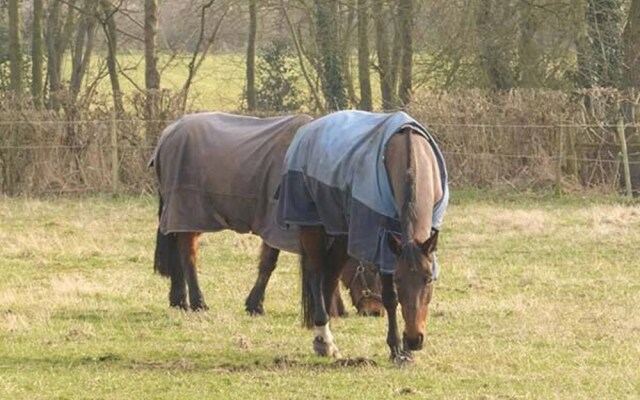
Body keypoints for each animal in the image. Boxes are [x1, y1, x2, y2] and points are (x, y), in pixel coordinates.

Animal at [150, 111, 382, 316]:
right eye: (371, 270)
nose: (376, 311)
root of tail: (168, 133)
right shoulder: (275, 227)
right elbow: (269, 264)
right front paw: (255, 305)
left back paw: (179, 300)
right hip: (189, 214)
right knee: (188, 255)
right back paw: (198, 302)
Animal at [276, 111, 450, 364]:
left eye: (428, 279)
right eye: (398, 279)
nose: (413, 339)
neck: (409, 155)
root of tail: (307, 131)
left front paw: (406, 352)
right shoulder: (381, 239)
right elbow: (390, 298)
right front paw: (395, 349)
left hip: (342, 233)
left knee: (330, 276)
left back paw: (329, 340)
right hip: (312, 225)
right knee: (316, 274)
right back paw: (323, 339)